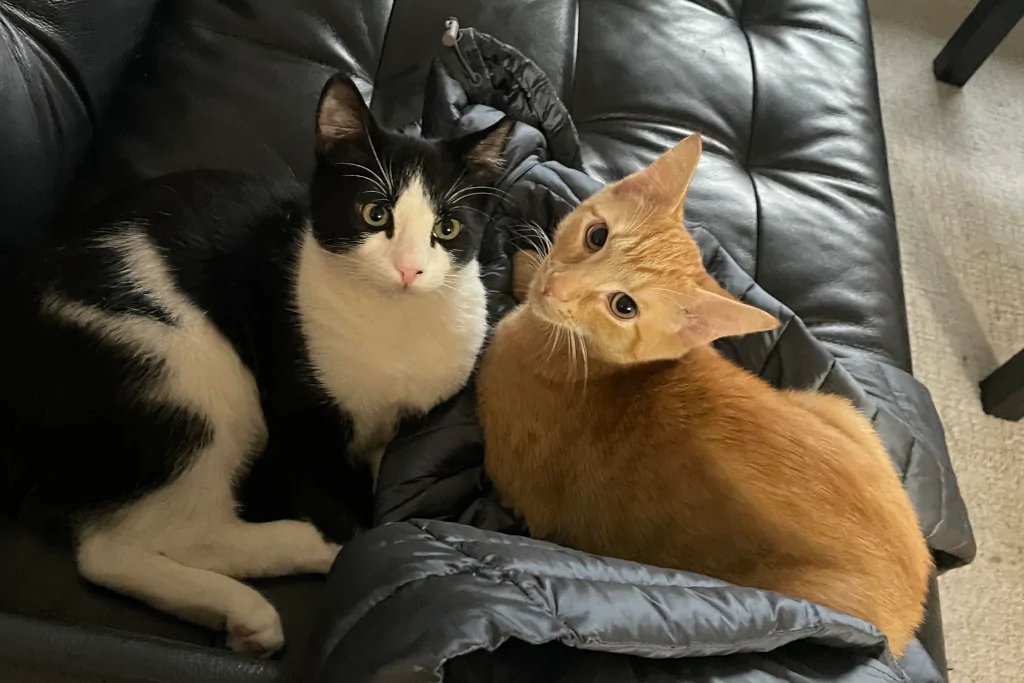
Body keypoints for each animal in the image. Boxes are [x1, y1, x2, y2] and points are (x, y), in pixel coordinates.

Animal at [0, 74, 512, 655]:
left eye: (447, 229)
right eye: (375, 214)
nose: (409, 270)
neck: (395, 327)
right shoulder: (298, 417)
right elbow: (350, 513)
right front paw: (358, 543)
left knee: (108, 543)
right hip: (190, 369)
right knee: (142, 540)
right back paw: (271, 581)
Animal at [475, 135, 933, 655]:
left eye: (624, 306)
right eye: (597, 236)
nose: (557, 285)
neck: (592, 365)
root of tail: (911, 612)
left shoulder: (518, 487)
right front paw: (530, 266)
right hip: (838, 407)